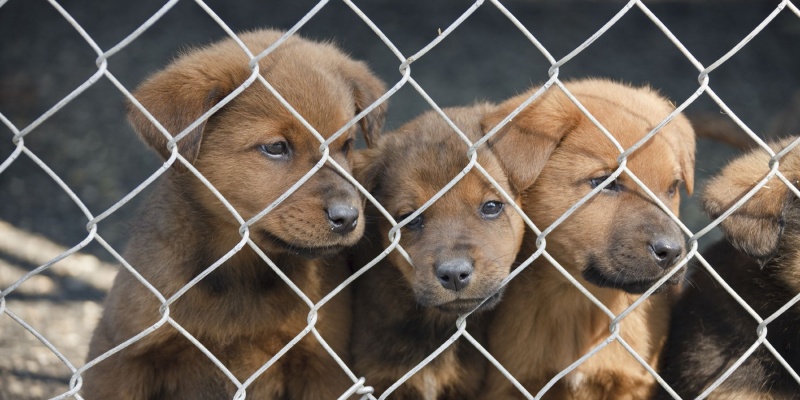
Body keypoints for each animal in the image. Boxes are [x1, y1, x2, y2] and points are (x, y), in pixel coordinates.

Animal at [82, 29, 386, 399]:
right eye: (275, 147)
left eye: (346, 145)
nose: (348, 217)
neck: (241, 272)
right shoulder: (121, 355)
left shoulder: (323, 364)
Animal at [477, 79, 696, 399]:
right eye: (605, 182)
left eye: (673, 187)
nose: (672, 252)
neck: (580, 302)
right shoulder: (510, 384)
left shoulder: (632, 384)